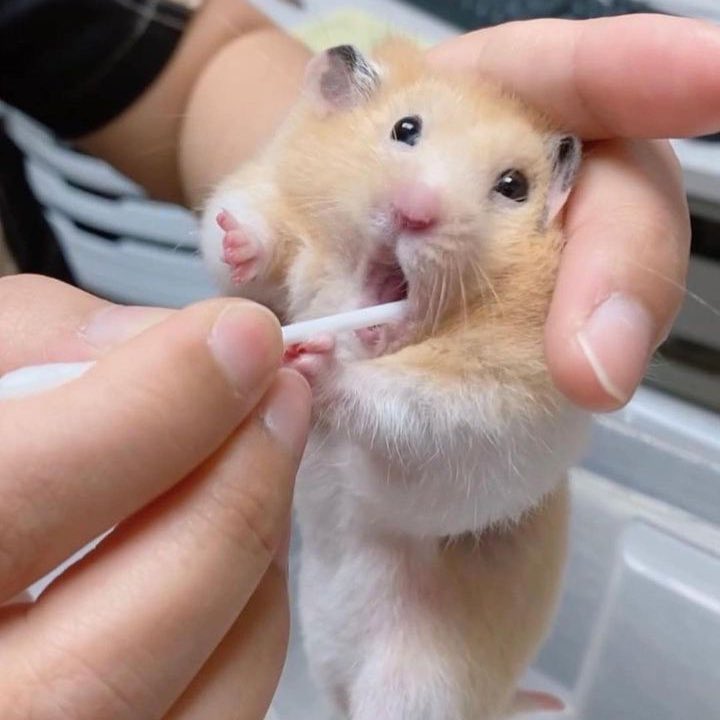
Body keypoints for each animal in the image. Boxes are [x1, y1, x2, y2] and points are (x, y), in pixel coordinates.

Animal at [201, 39, 589, 720]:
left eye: (513, 187)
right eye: (404, 129)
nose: (414, 212)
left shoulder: (499, 414)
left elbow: (409, 402)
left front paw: (315, 362)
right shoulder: (265, 189)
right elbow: (248, 239)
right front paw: (240, 242)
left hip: (417, 687)